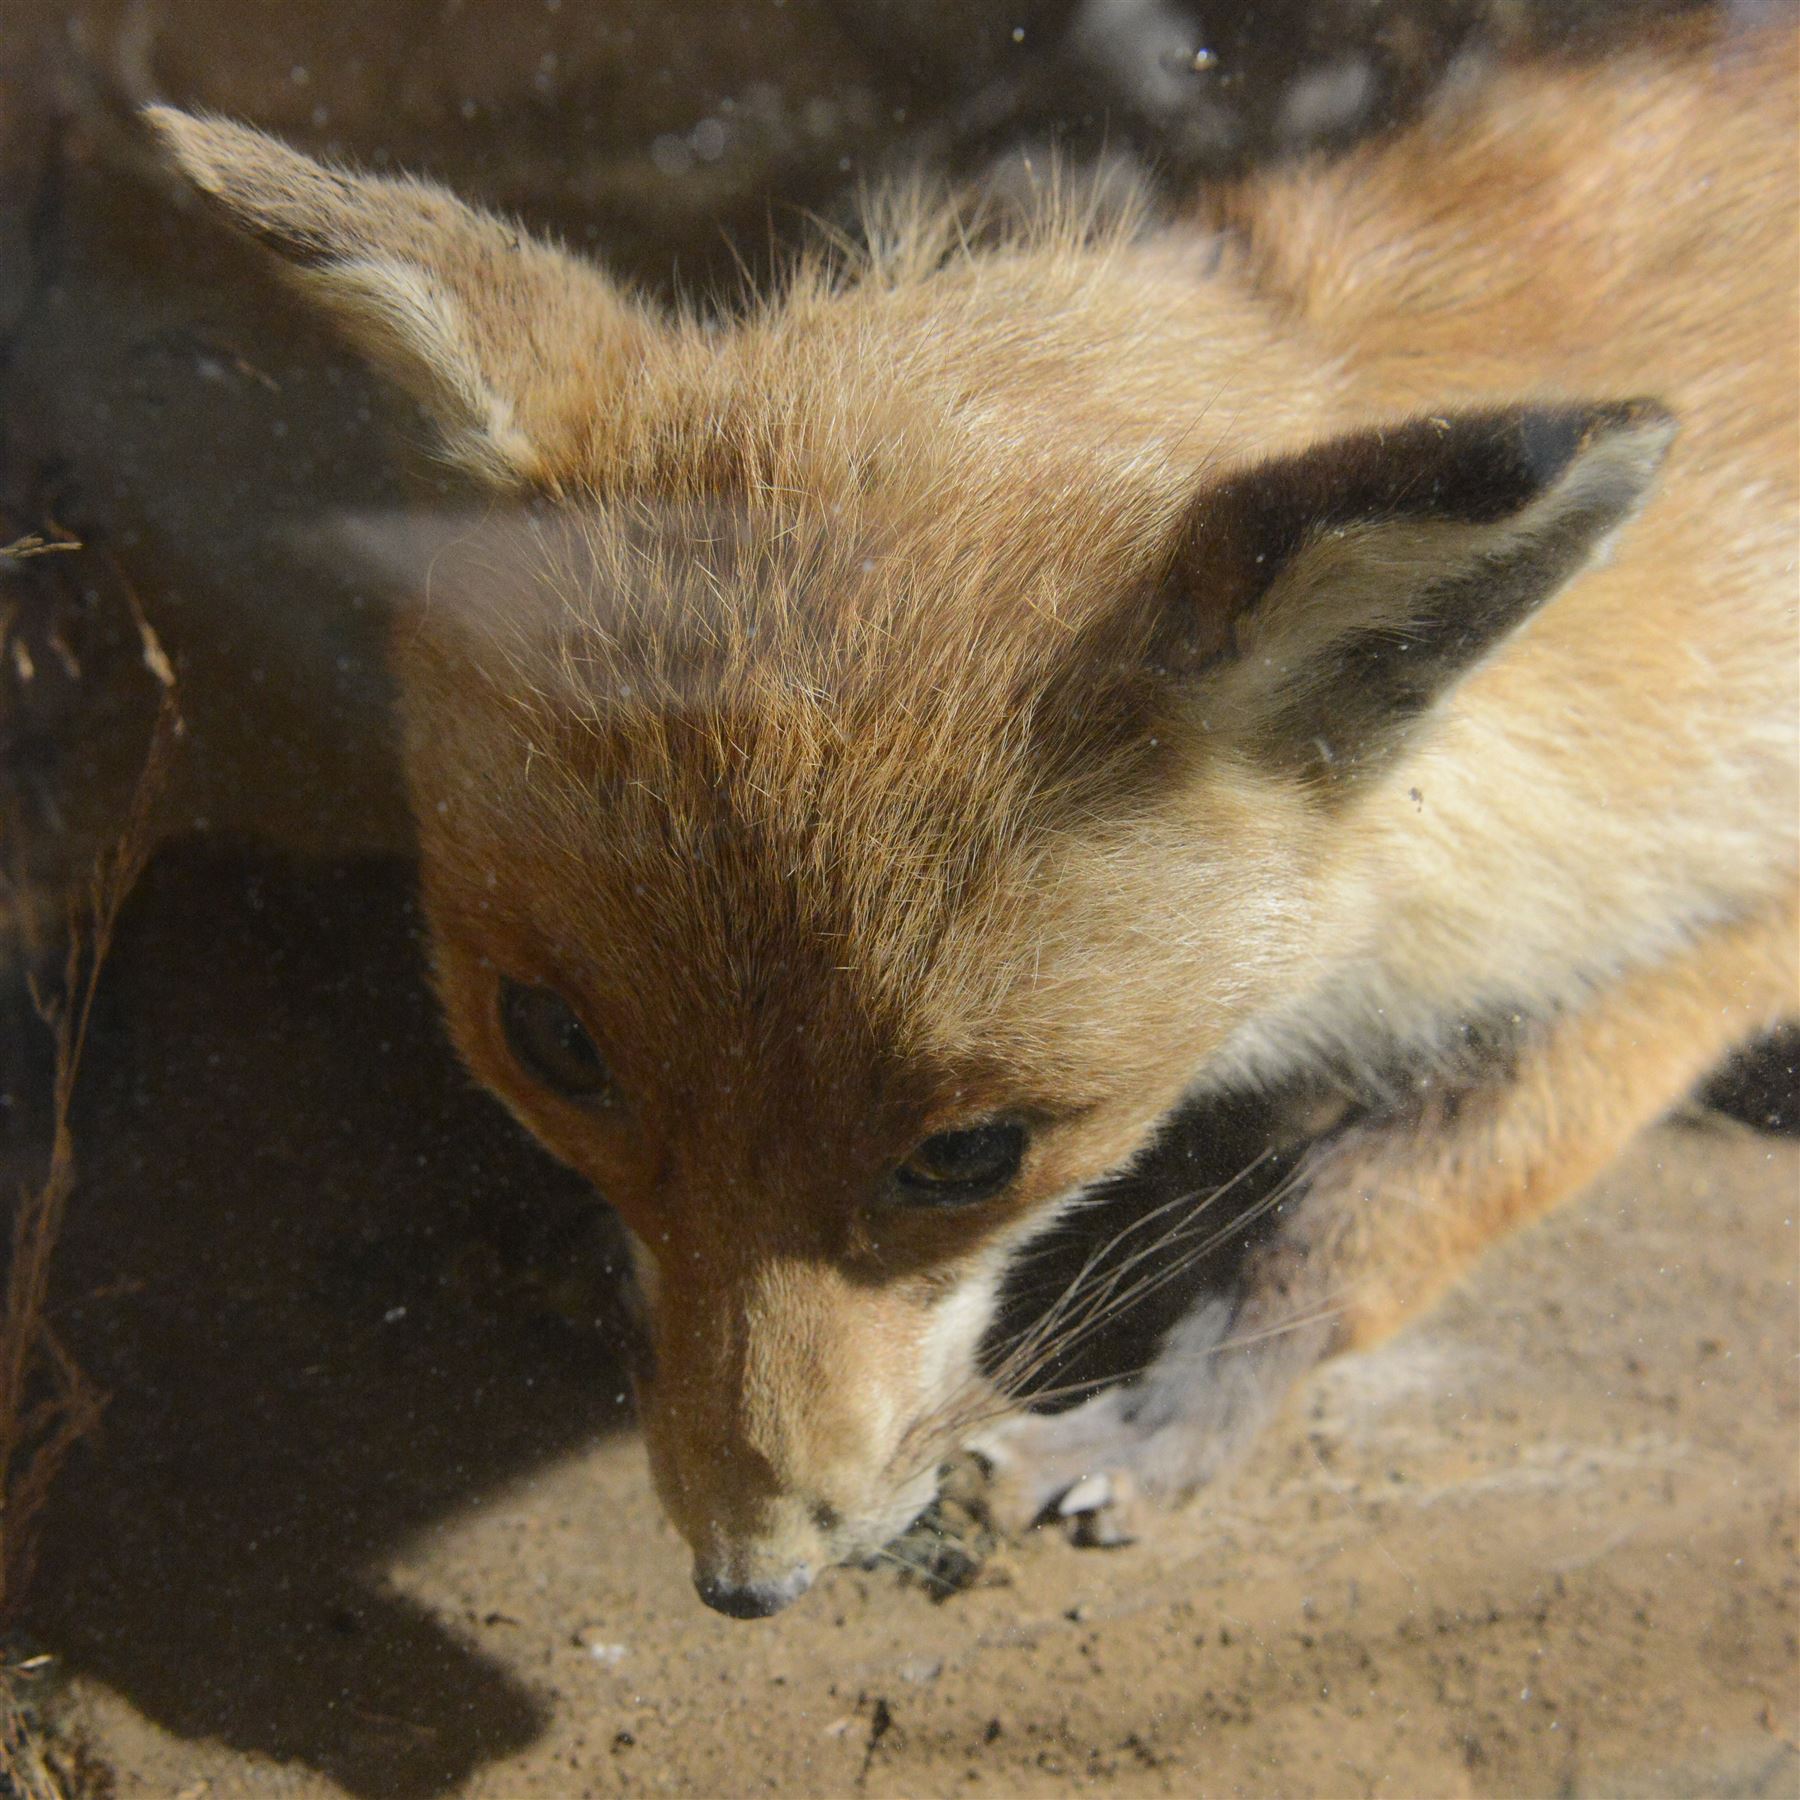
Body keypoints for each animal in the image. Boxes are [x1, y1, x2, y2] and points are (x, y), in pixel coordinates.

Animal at [145, 11, 1798, 1620]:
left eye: (971, 1157)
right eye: (551, 1044)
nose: (752, 1581)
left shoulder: (1724, 897)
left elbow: (1367, 1201)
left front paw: (1178, 1417)